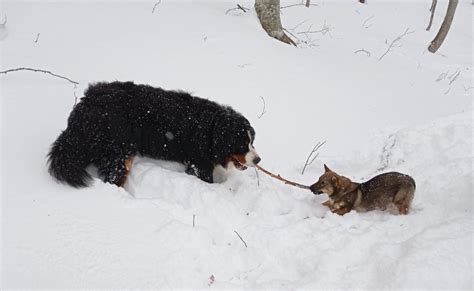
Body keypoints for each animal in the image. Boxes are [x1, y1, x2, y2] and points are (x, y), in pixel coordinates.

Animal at [48, 81, 262, 188]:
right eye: (241, 143)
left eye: (252, 141)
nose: (258, 160)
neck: (211, 129)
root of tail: (85, 104)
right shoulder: (199, 165)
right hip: (120, 152)